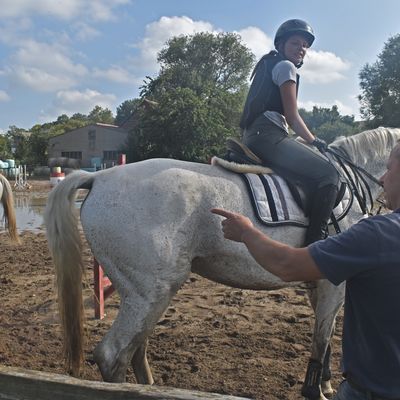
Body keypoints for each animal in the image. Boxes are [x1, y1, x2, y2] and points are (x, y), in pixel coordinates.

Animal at [43, 126, 400, 398]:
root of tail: (102, 177)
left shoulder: (325, 286)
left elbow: (325, 337)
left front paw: (325, 383)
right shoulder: (332, 285)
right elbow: (322, 338)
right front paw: (317, 391)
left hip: (149, 296)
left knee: (135, 348)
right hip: (149, 294)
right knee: (113, 354)